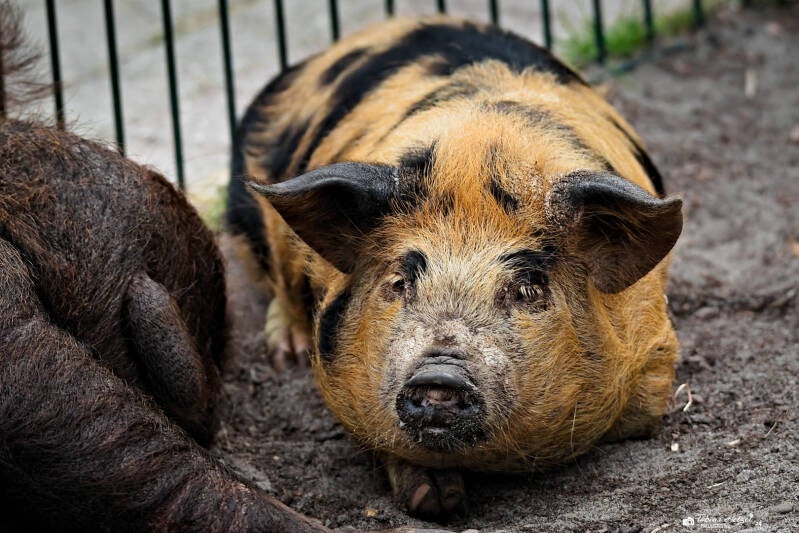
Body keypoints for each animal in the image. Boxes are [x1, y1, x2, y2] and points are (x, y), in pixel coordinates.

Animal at [227, 17, 683, 517]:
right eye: (399, 282)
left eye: (528, 290)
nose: (439, 375)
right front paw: (434, 502)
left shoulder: (656, 348)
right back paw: (285, 354)